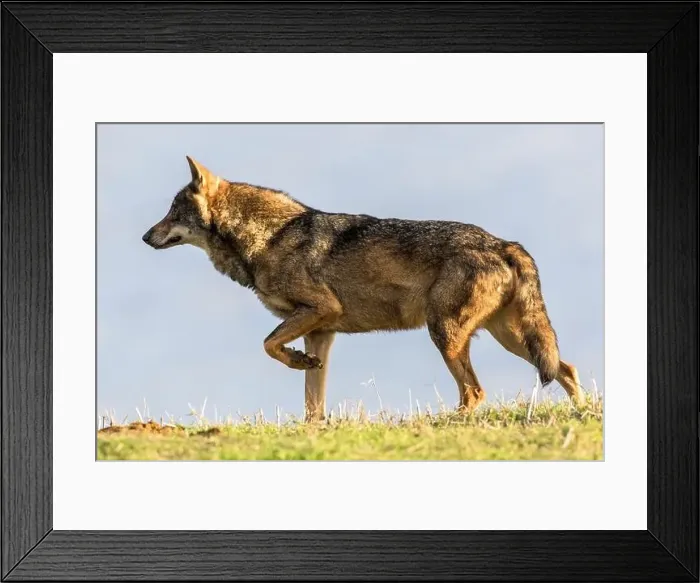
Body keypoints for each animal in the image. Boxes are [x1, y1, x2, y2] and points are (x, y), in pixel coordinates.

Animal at [142, 156, 584, 422]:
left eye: (173, 212)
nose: (145, 237)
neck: (271, 238)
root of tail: (505, 243)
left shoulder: (320, 310)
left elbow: (268, 345)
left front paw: (295, 363)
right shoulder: (321, 332)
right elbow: (312, 401)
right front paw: (312, 426)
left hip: (447, 334)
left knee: (475, 392)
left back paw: (445, 422)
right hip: (510, 338)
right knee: (566, 368)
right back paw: (583, 416)